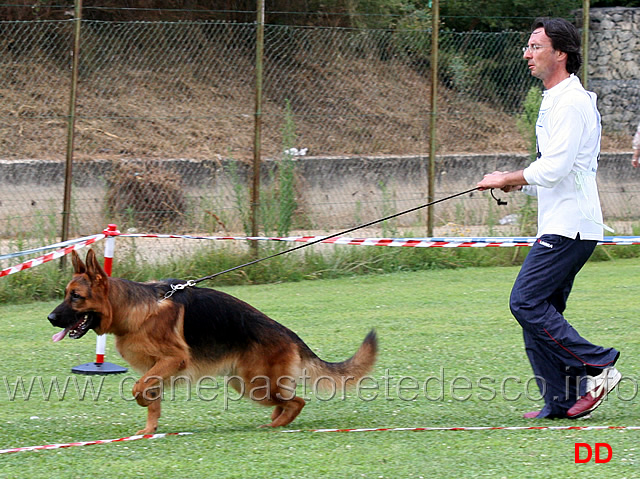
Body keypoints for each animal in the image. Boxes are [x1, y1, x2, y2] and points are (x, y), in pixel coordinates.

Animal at [47, 251, 378, 436]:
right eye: (66, 294)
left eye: (76, 297)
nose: (50, 318)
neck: (135, 310)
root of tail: (291, 335)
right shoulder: (156, 368)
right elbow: (152, 401)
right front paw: (150, 429)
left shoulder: (172, 360)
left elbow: (139, 389)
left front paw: (143, 404)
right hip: (246, 383)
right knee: (287, 400)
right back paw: (278, 419)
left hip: (255, 384)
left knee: (297, 401)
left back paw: (276, 425)